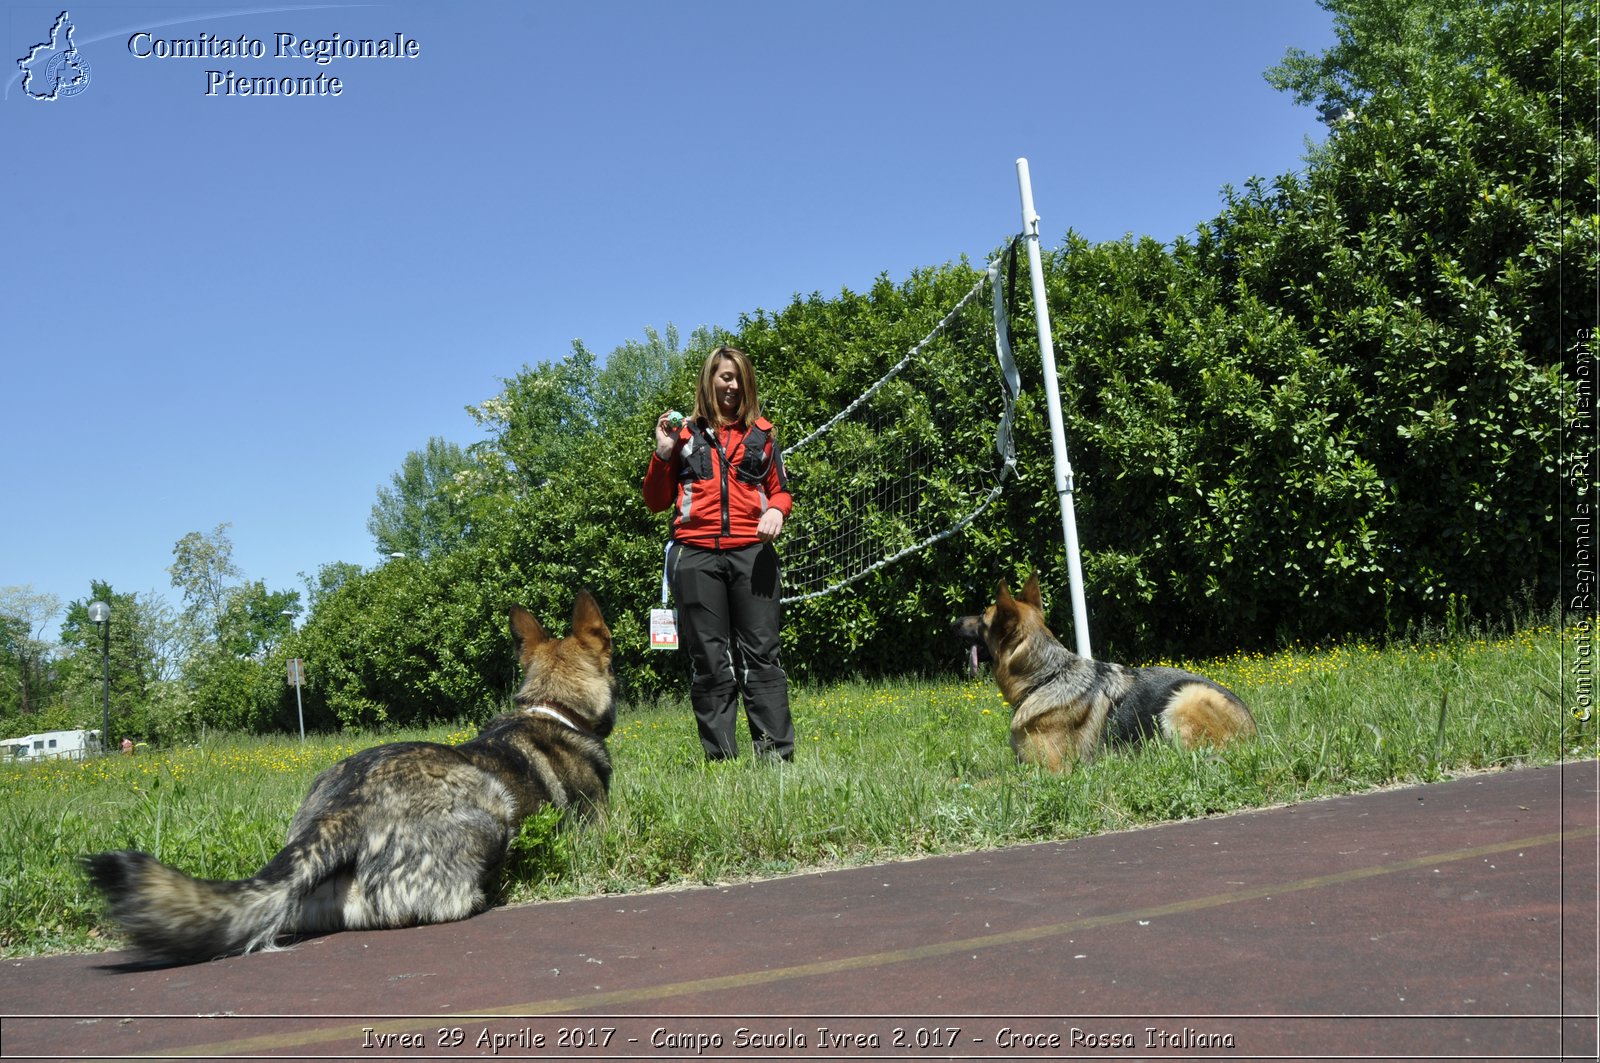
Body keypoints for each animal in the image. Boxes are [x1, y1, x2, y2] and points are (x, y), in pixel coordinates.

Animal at [953, 573, 1254, 771]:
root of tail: (1254, 731)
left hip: (1185, 698)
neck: (1047, 679)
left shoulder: (1047, 770)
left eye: (982, 618)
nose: (953, 622)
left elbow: (991, 780)